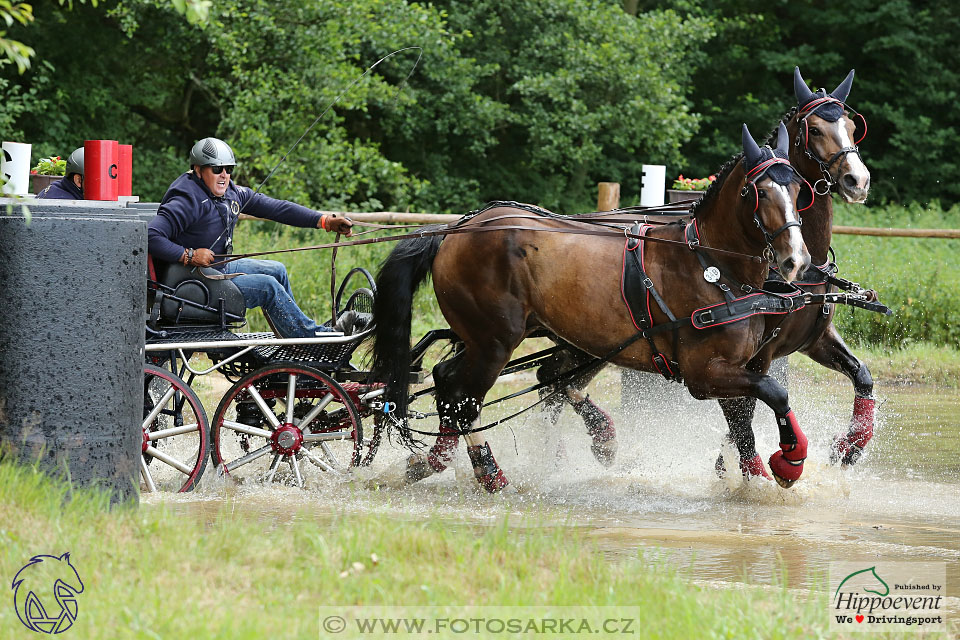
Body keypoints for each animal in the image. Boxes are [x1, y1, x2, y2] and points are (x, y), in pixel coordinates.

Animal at [376, 126, 816, 496]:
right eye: (757, 192)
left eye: (799, 189)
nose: (796, 261)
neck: (709, 265)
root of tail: (453, 231)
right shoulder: (703, 374)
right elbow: (773, 393)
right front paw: (790, 460)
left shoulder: (737, 366)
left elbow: (743, 422)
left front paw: (757, 479)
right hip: (495, 342)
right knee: (465, 400)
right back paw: (490, 473)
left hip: (491, 338)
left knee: (447, 381)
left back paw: (434, 461)